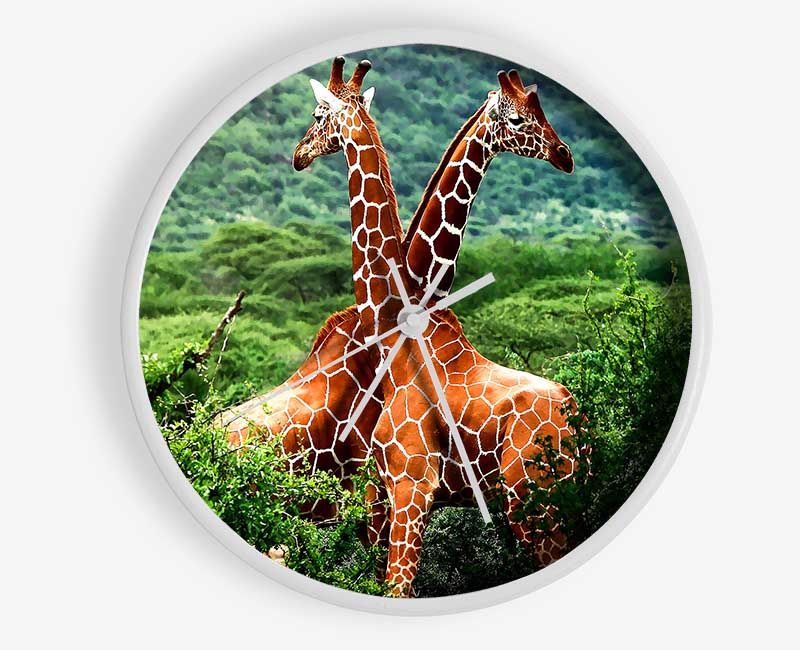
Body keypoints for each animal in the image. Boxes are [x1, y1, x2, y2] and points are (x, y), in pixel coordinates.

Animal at [290, 59, 583, 596]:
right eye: (517, 117)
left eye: (319, 114)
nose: (565, 155)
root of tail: (579, 421)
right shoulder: (385, 491)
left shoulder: (410, 485)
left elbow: (395, 587)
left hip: (534, 504)